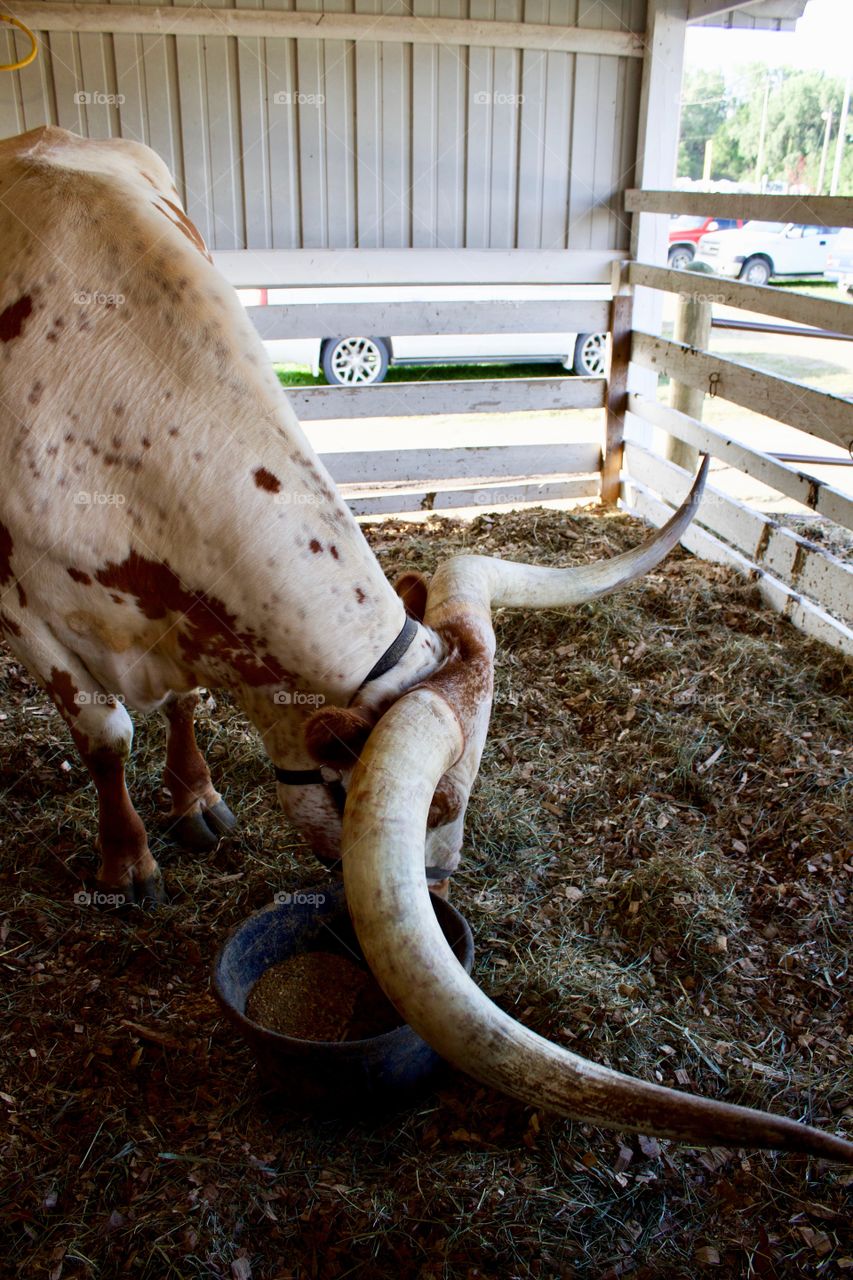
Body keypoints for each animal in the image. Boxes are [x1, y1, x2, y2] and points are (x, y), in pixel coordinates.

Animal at [1, 127, 850, 1162]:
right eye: (434, 798)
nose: (439, 884)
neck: (123, 410)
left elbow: (178, 703)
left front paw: (191, 800)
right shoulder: (29, 615)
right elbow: (103, 739)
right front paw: (126, 862)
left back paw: (197, 793)